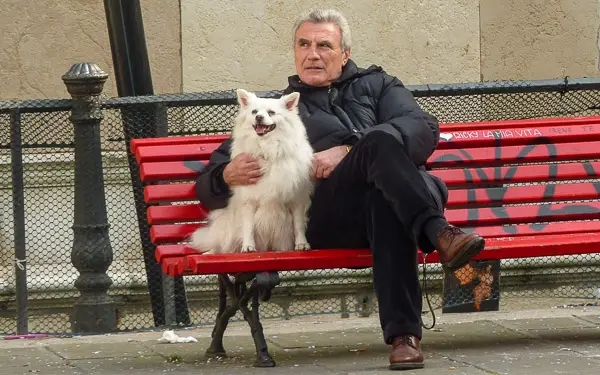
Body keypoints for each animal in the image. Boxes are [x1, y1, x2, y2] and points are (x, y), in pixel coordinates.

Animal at [190, 89, 314, 254]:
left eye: (271, 112)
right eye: (254, 112)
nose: (259, 117)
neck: (266, 150)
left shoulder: (297, 199)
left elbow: (298, 225)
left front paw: (301, 244)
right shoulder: (248, 201)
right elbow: (248, 226)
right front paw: (248, 246)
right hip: (225, 228)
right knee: (222, 246)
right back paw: (212, 252)